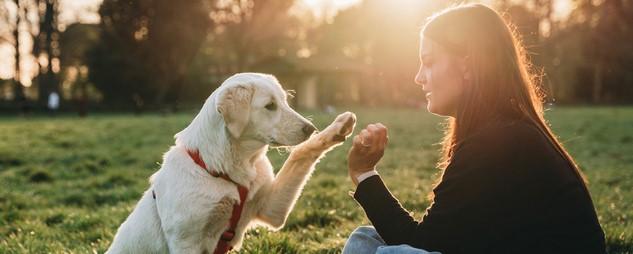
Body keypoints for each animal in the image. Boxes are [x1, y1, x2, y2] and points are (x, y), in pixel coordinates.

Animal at [106, 72, 358, 253]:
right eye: (270, 106)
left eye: (285, 102)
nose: (310, 128)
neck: (227, 170)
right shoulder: (185, 241)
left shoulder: (271, 209)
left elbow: (301, 153)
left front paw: (336, 129)